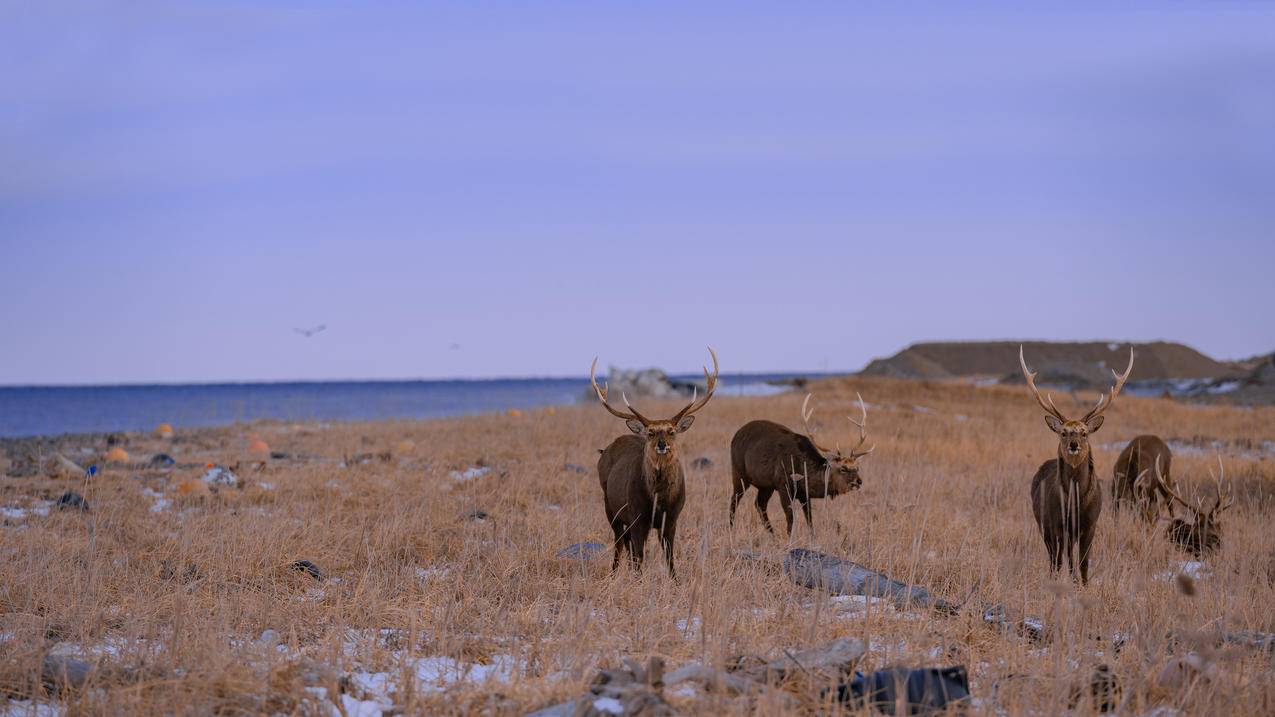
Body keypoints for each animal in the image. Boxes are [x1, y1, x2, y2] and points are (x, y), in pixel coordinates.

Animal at [589, 347, 719, 574]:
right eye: (650, 432)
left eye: (672, 431)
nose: (661, 444)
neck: (658, 499)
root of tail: (605, 450)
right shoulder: (637, 516)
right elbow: (639, 557)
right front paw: (638, 579)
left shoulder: (672, 518)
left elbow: (669, 557)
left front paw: (675, 579)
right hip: (610, 506)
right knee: (619, 542)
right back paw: (614, 572)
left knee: (627, 544)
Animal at [729, 390, 877, 530]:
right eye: (843, 469)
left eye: (857, 467)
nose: (858, 481)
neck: (804, 470)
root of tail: (735, 436)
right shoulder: (783, 485)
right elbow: (790, 520)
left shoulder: (805, 494)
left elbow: (810, 521)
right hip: (739, 472)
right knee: (734, 501)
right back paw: (731, 529)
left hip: (766, 485)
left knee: (759, 504)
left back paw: (772, 534)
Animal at [1020, 344, 1132, 584]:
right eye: (1063, 432)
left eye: (1084, 433)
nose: (1073, 444)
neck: (1075, 502)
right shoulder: (1056, 523)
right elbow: (1062, 561)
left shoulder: (1090, 524)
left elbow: (1083, 564)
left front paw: (1083, 585)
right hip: (1044, 525)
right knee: (1055, 558)